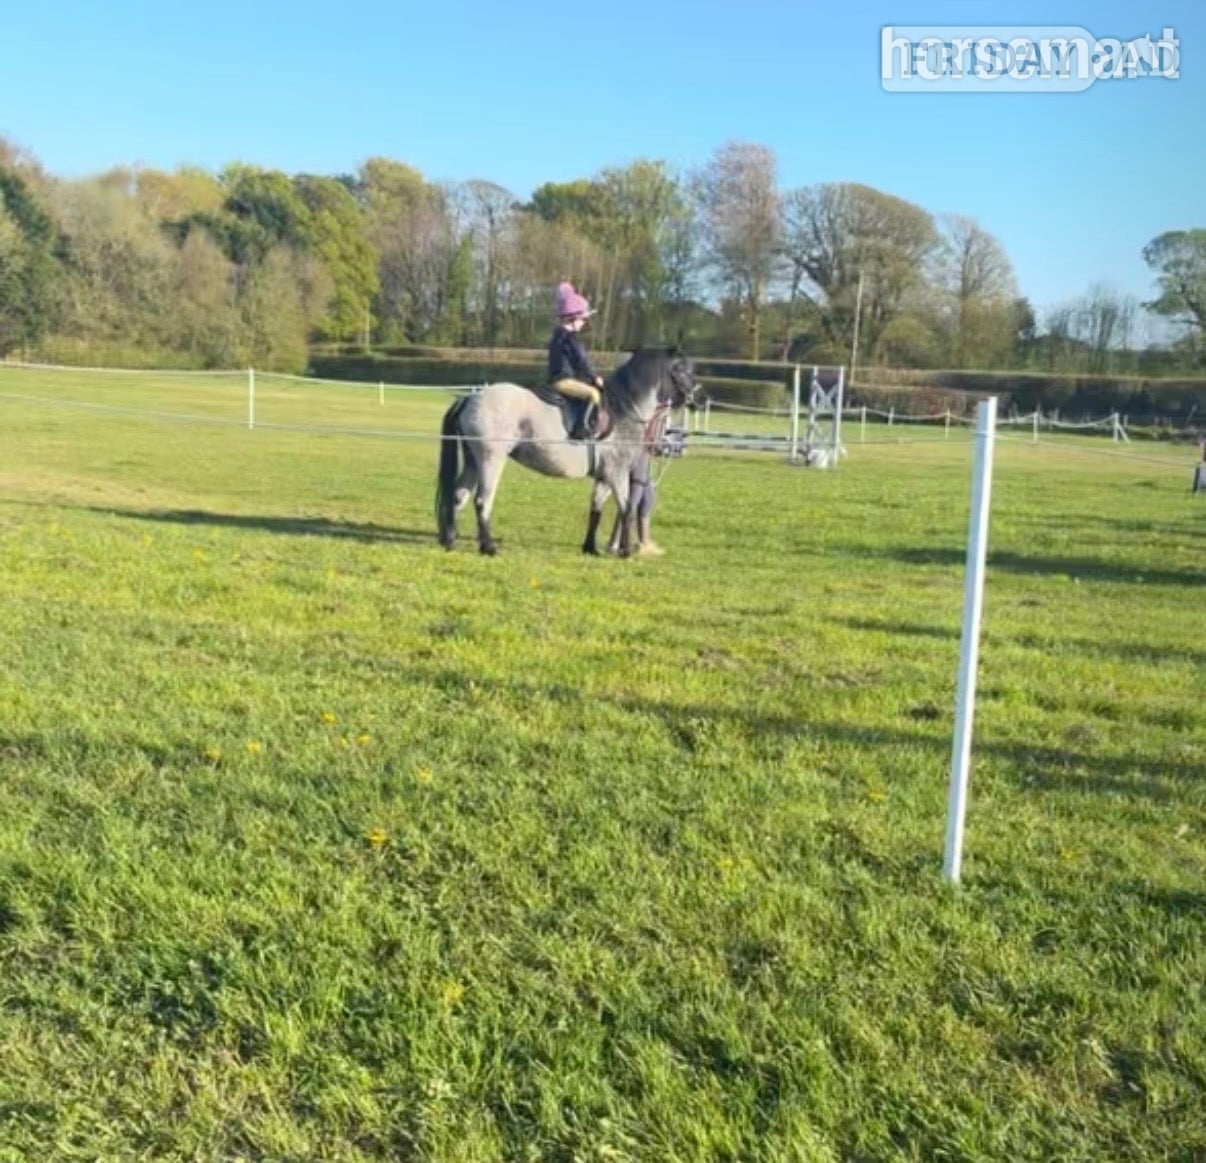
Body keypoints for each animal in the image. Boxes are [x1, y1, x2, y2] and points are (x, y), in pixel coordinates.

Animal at [435, 348, 700, 556]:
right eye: (685, 371)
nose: (699, 398)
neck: (625, 410)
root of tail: (471, 397)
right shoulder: (616, 473)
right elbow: (626, 508)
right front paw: (624, 551)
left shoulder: (604, 476)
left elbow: (596, 509)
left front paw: (590, 548)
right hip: (491, 460)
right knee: (482, 500)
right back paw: (488, 547)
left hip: (473, 460)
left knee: (458, 496)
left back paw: (451, 540)